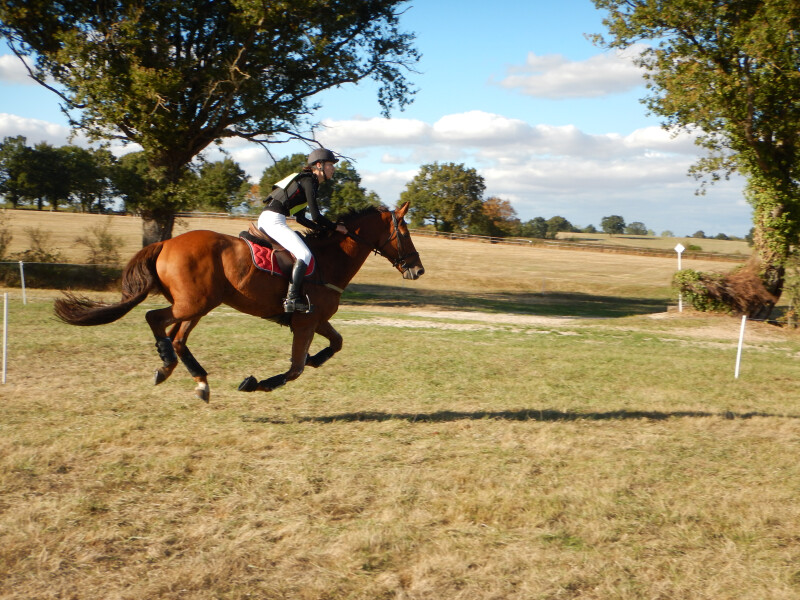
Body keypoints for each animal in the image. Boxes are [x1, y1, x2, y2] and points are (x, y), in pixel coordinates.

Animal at [53, 202, 424, 402]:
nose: (417, 269)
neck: (330, 258)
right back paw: (178, 370)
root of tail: (165, 243)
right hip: (195, 303)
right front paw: (257, 383)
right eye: (405, 232)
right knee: (158, 321)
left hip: (198, 305)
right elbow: (295, 368)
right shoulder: (305, 321)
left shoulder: (317, 320)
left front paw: (315, 359)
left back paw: (186, 375)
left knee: (175, 336)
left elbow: (335, 344)